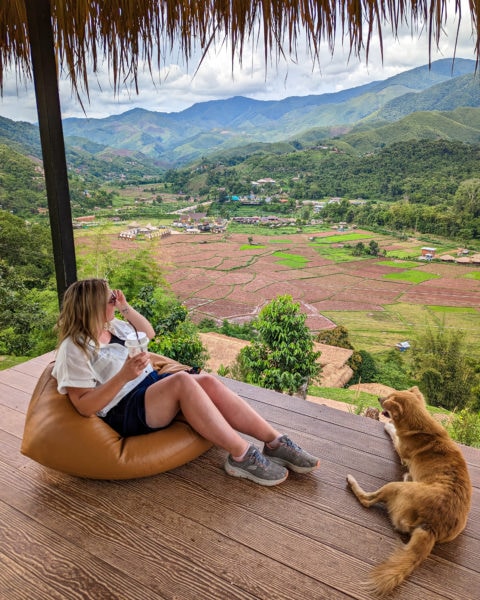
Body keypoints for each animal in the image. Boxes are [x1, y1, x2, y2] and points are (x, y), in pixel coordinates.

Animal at [346, 384, 470, 596]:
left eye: (388, 398)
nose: (379, 398)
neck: (422, 427)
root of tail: (432, 527)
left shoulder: (402, 450)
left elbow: (394, 434)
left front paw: (388, 426)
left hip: (394, 486)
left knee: (367, 500)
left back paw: (353, 481)